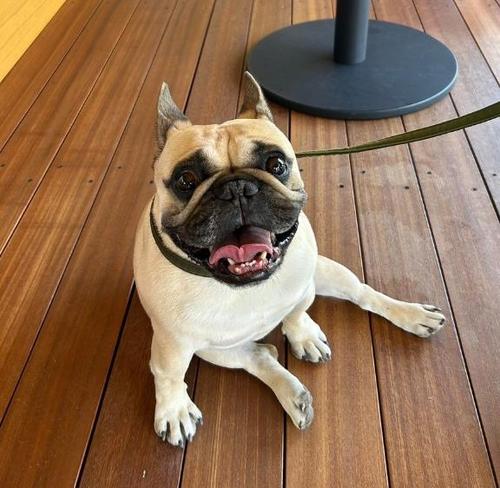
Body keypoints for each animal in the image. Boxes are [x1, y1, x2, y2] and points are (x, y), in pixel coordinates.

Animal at [133, 72, 446, 447]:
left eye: (276, 165)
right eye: (186, 180)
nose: (236, 188)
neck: (242, 286)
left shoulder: (303, 289)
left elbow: (296, 314)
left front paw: (303, 335)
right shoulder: (173, 344)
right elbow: (169, 376)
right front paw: (174, 410)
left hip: (327, 272)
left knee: (363, 294)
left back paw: (413, 316)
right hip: (213, 349)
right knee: (258, 355)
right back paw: (292, 394)